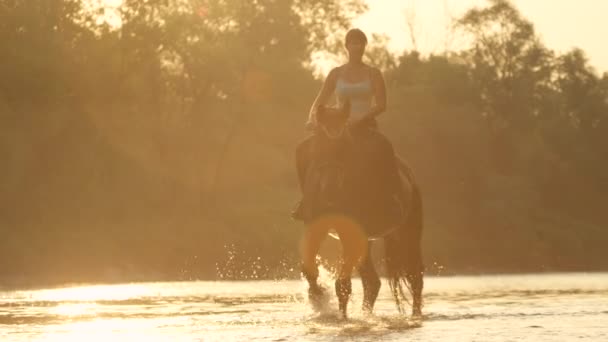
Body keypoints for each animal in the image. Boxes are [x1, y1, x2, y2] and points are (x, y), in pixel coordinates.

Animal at [294, 103, 422, 320]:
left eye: (344, 146)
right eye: (319, 144)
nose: (330, 188)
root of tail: (410, 175)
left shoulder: (348, 233)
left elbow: (343, 284)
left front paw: (341, 317)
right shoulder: (316, 227)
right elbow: (310, 270)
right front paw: (317, 296)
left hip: (409, 233)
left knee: (415, 277)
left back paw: (416, 316)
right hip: (366, 240)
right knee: (373, 282)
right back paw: (366, 315)